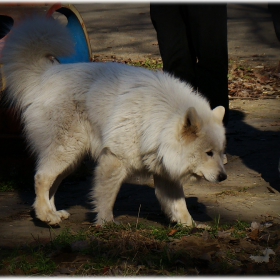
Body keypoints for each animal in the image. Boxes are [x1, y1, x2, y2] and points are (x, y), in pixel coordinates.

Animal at [1, 17, 226, 228]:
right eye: (208, 153)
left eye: (221, 152)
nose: (223, 177)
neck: (160, 118)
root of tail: (44, 76)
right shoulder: (114, 159)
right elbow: (106, 196)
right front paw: (106, 223)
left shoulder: (164, 170)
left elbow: (179, 204)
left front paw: (191, 226)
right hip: (65, 150)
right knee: (41, 178)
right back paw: (45, 216)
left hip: (71, 159)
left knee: (52, 183)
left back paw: (52, 213)